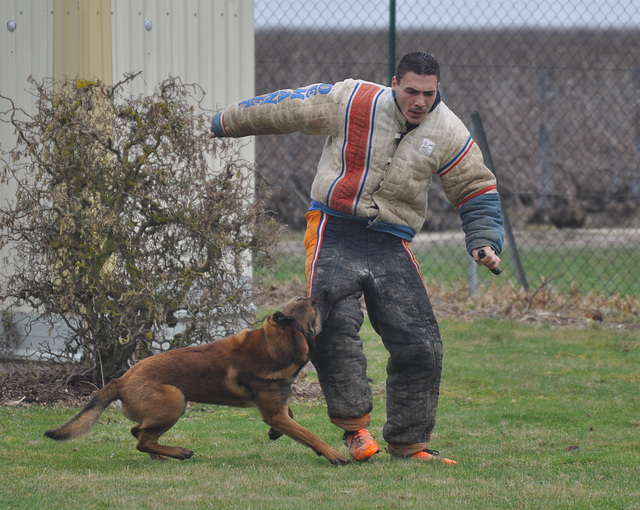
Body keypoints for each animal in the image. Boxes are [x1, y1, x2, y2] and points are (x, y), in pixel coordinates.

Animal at [43, 294, 350, 466]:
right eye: (310, 305)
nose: (319, 294)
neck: (276, 345)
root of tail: (121, 379)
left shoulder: (276, 408)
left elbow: (291, 416)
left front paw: (277, 432)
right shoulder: (273, 411)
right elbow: (309, 434)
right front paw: (334, 455)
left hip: (166, 408)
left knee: (139, 433)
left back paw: (161, 456)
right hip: (175, 402)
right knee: (141, 438)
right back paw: (178, 453)